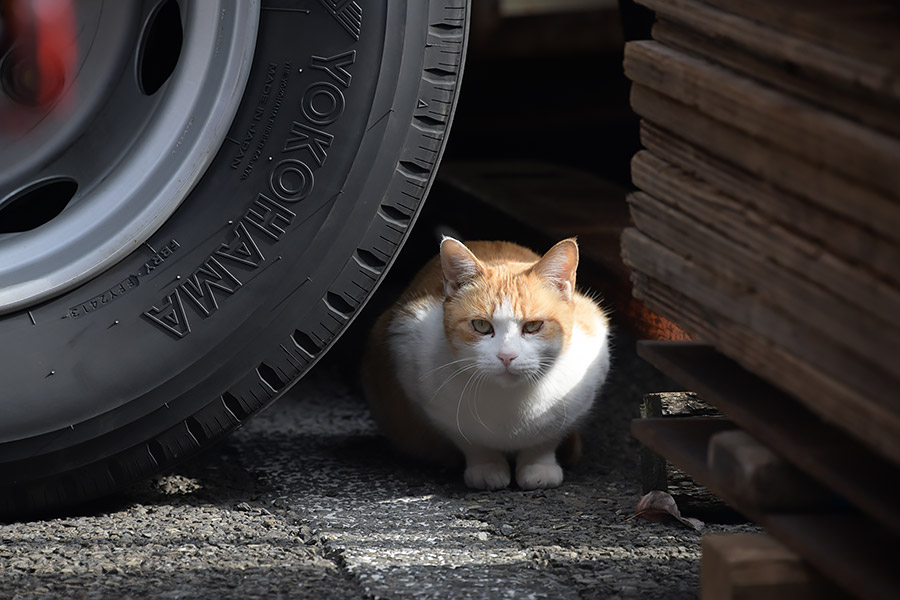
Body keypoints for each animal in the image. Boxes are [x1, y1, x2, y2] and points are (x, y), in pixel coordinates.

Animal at [360, 237, 612, 490]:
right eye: (481, 326)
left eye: (533, 326)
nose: (507, 356)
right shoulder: (412, 357)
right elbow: (470, 440)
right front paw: (487, 466)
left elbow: (547, 438)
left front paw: (538, 465)